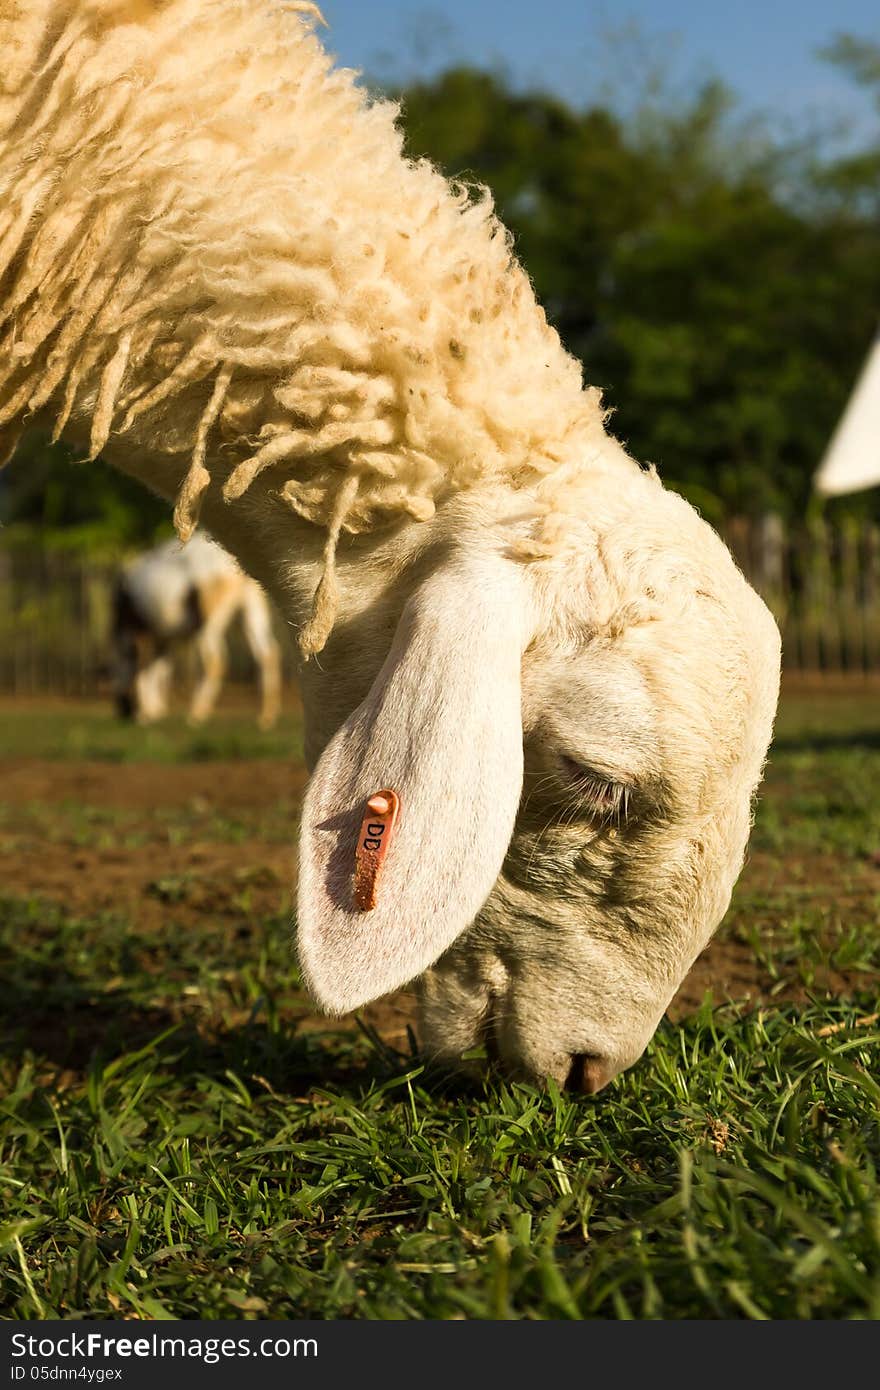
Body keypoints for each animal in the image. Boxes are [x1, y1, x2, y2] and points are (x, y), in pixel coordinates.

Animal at [109, 528, 279, 728]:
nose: (124, 711)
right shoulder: (164, 638)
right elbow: (159, 669)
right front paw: (156, 711)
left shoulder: (139, 632)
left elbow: (144, 667)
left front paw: (145, 714)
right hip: (251, 611)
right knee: (268, 653)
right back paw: (266, 717)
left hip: (208, 624)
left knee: (215, 661)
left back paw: (196, 714)